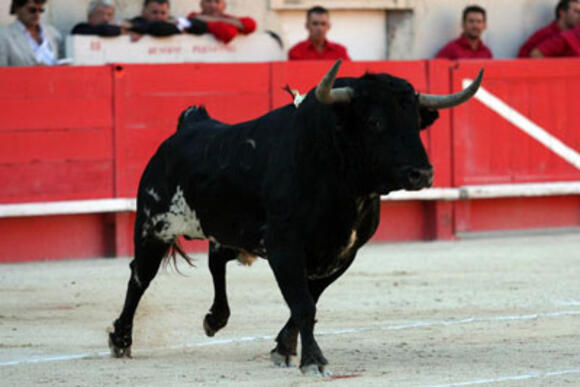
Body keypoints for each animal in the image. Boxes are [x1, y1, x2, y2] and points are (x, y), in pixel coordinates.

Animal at [110, 60, 484, 376]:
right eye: (375, 122)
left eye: (416, 124)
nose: (422, 173)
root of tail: (191, 122)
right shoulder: (284, 246)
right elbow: (303, 304)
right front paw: (313, 361)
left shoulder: (343, 253)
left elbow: (307, 301)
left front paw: (284, 348)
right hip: (152, 228)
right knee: (139, 277)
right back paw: (121, 340)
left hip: (233, 233)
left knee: (216, 261)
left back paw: (215, 319)